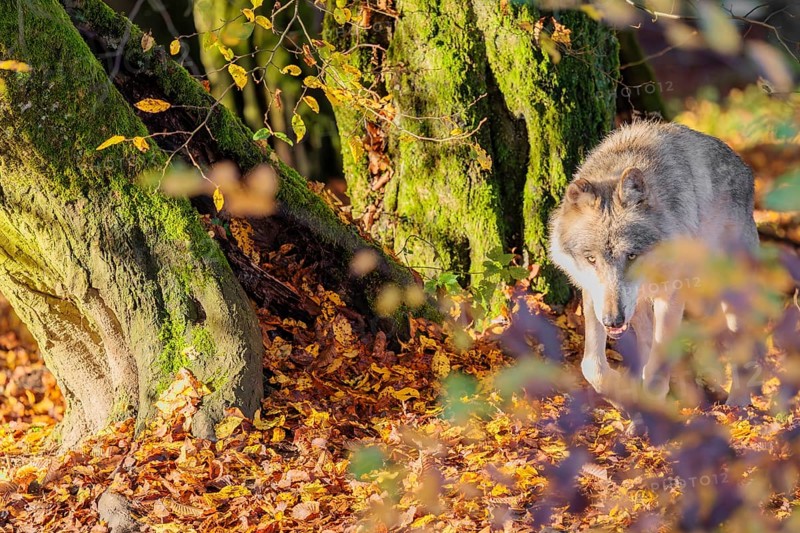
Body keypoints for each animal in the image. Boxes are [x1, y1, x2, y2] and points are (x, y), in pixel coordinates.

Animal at [548, 121, 759, 406]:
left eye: (631, 255)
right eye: (591, 259)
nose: (613, 320)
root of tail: (746, 169)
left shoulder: (671, 296)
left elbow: (656, 375)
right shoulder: (593, 294)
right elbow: (592, 366)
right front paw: (620, 395)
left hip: (726, 289)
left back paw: (737, 405)